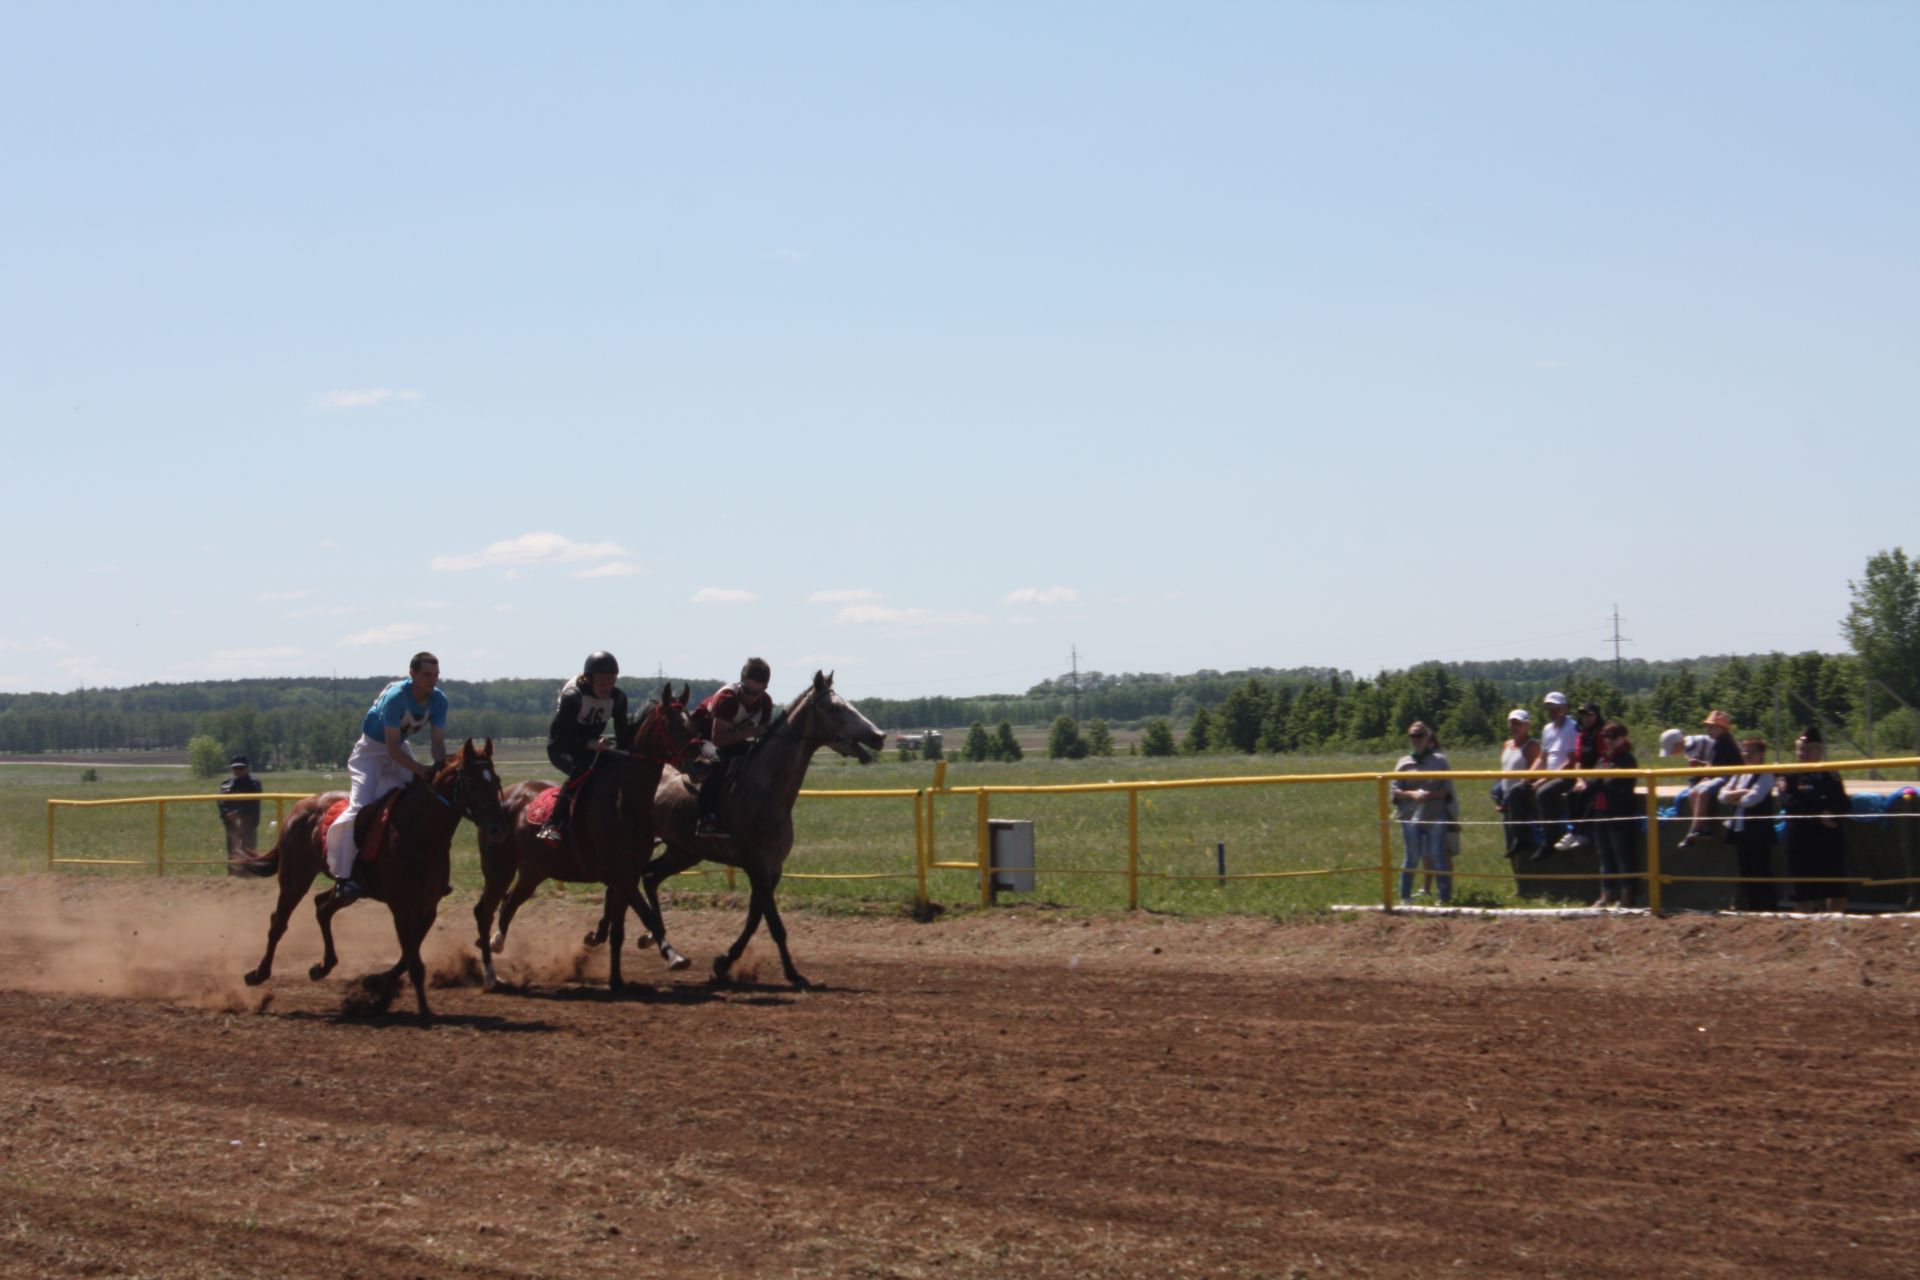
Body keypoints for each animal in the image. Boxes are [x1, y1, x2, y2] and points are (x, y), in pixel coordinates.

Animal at [239, 740, 506, 1020]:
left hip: (345, 890)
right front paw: (422, 1009)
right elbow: (413, 959)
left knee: (322, 907)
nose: (498, 828)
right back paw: (258, 974)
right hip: (295, 877)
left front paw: (377, 984)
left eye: (496, 780)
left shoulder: (427, 906)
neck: (420, 832)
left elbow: (408, 955)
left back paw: (323, 966)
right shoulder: (401, 906)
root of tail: (299, 808)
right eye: (473, 783)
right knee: (279, 921)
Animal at [478, 687, 702, 997]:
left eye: (692, 722)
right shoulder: (621, 875)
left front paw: (617, 980)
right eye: (671, 724)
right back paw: (490, 973)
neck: (624, 798)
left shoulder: (627, 875)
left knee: (509, 902)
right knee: (484, 911)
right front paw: (673, 955)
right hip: (498, 868)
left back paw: (496, 943)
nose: (702, 764)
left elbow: (619, 930)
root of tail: (501, 799)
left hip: (532, 871)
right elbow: (647, 915)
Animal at [625, 671, 879, 990]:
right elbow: (774, 923)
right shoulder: (756, 865)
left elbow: (755, 919)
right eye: (835, 708)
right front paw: (793, 974)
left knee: (649, 877)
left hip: (683, 851)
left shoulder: (772, 867)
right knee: (635, 879)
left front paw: (724, 962)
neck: (767, 789)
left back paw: (654, 938)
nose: (878, 736)